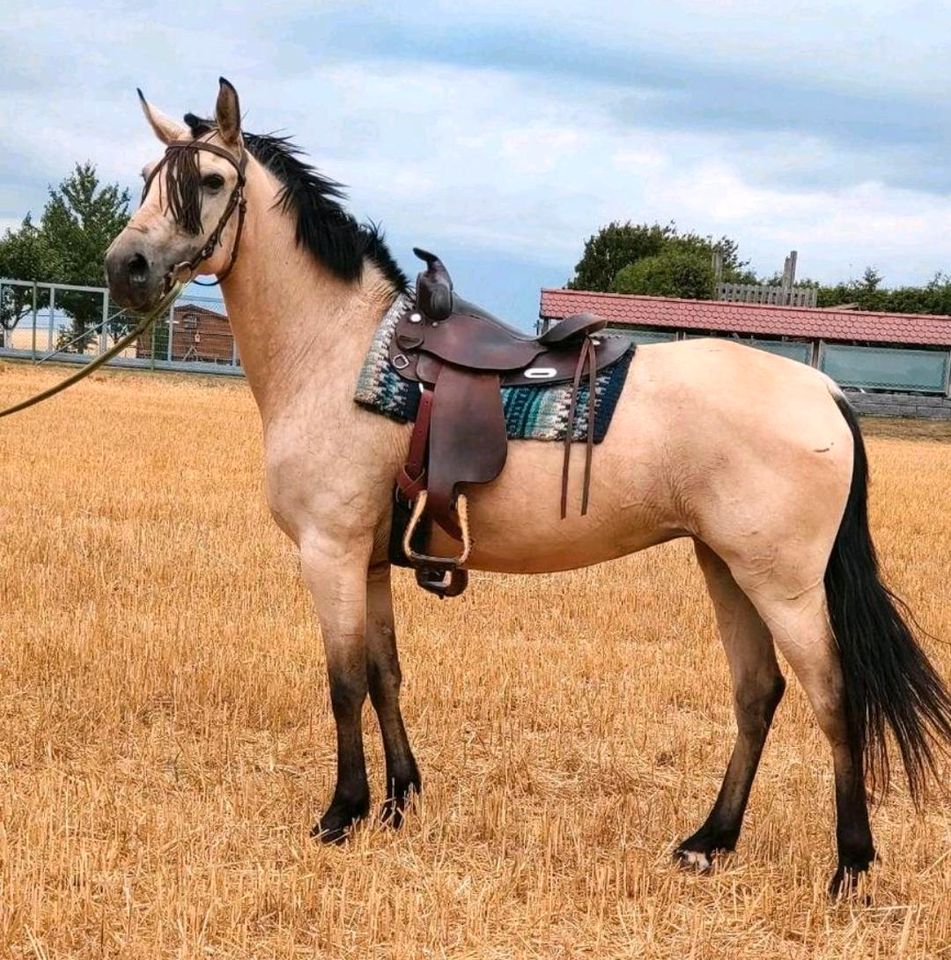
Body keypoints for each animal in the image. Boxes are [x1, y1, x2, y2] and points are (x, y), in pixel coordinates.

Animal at [106, 79, 951, 896]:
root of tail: (823, 390)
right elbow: (384, 674)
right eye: (147, 176)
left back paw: (849, 866)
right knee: (757, 693)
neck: (338, 354)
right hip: (726, 568)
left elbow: (343, 683)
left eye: (211, 181)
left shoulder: (330, 553)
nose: (126, 267)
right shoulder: (370, 561)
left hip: (782, 584)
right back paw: (708, 842)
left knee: (832, 700)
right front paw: (399, 800)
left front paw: (342, 813)